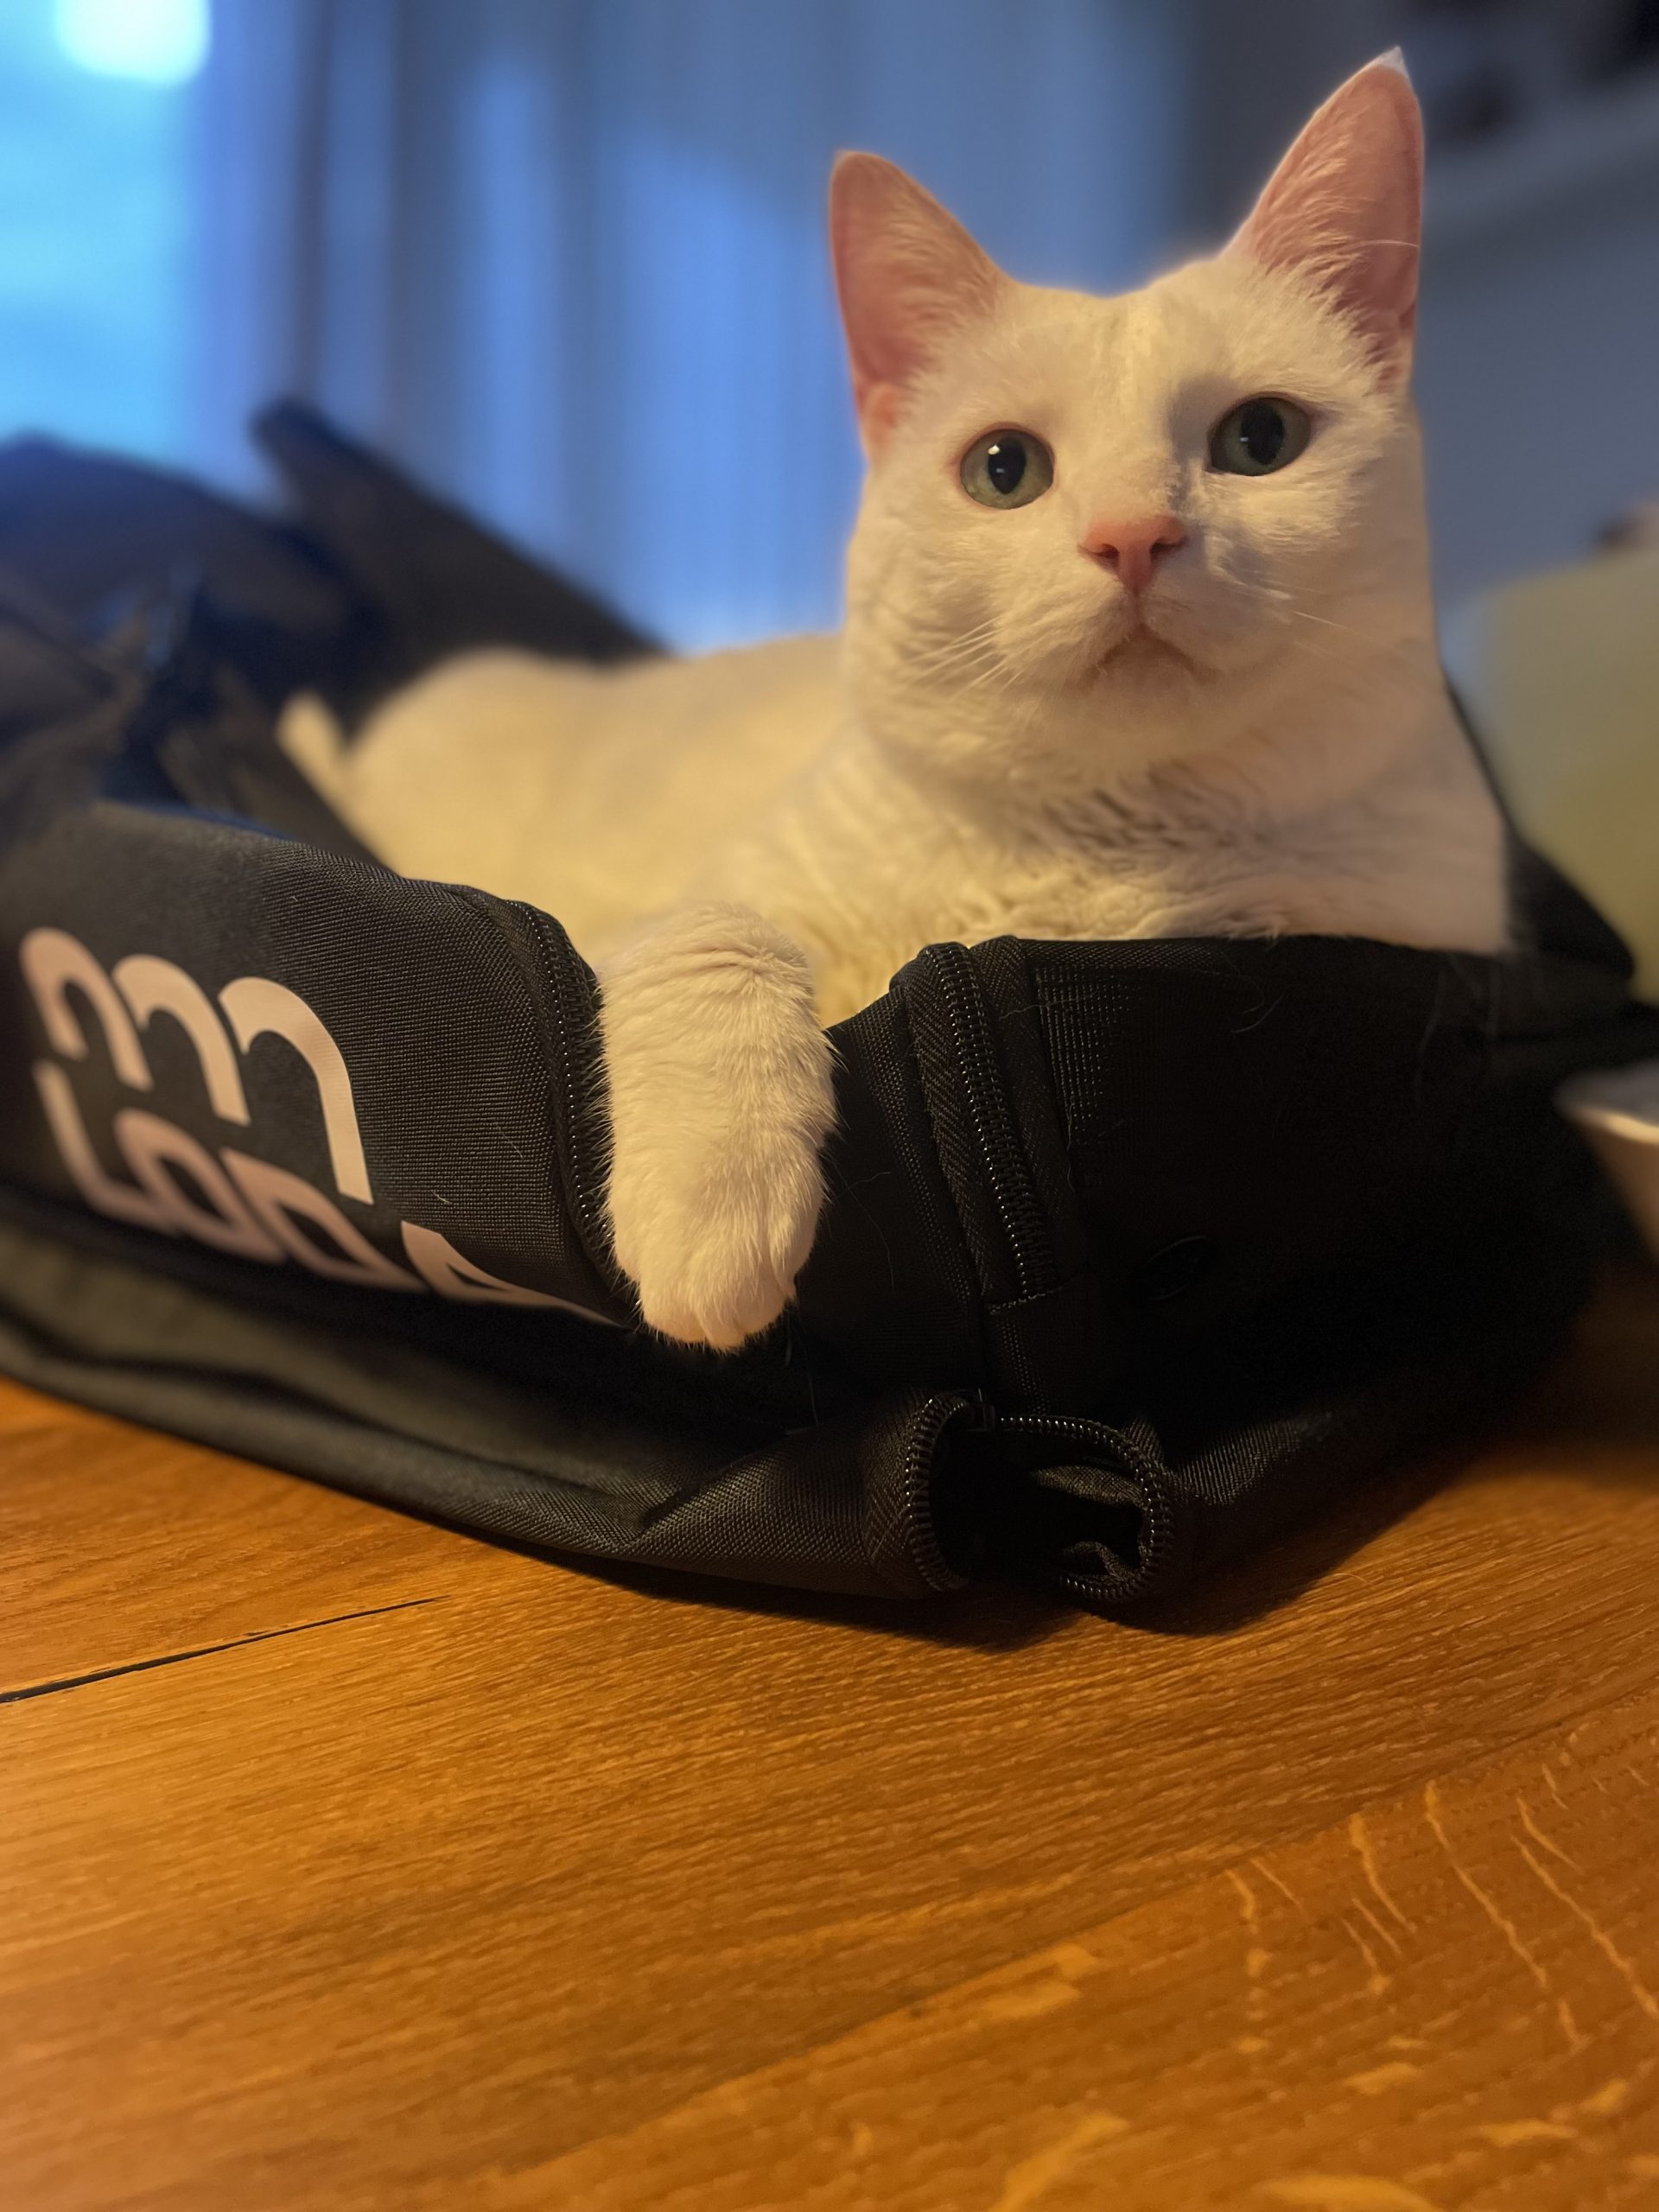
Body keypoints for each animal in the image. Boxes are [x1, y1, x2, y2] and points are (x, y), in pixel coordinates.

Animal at [283, 52, 1508, 1354]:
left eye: (1261, 437)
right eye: (1004, 470)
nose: (1133, 535)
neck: (1103, 854)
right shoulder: (653, 913)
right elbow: (720, 931)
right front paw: (714, 1216)